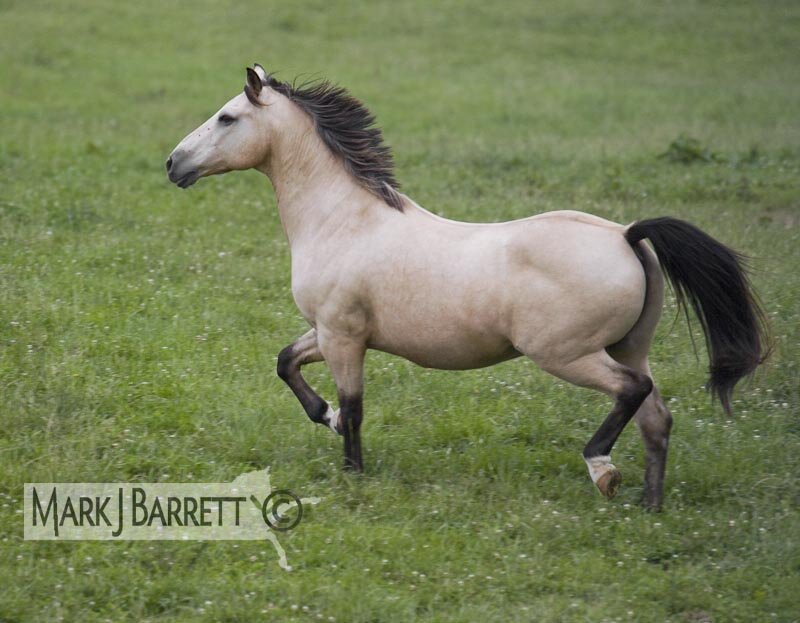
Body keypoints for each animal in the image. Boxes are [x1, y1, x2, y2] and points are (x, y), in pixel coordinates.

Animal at [166, 65, 769, 509]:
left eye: (227, 117)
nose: (173, 164)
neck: (342, 220)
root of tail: (625, 235)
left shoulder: (343, 335)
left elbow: (353, 406)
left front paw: (352, 472)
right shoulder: (327, 332)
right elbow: (286, 363)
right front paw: (329, 421)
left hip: (566, 353)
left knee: (632, 392)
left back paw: (601, 469)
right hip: (628, 346)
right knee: (656, 418)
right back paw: (647, 504)